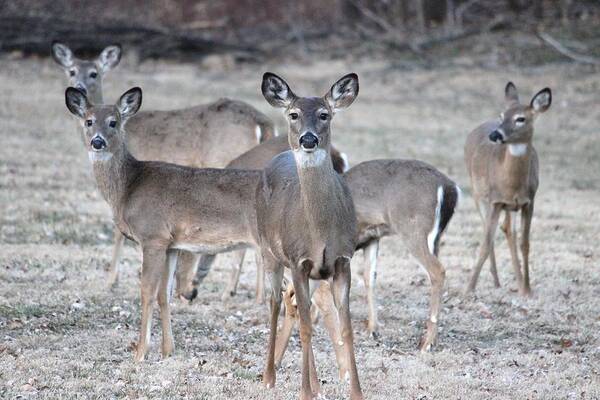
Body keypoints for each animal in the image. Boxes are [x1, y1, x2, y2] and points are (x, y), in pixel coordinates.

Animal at [51, 41, 274, 288]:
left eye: (94, 73)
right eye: (71, 71)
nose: (79, 87)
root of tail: (261, 122)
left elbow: (120, 234)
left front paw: (111, 279)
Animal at [63, 86, 262, 362]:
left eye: (114, 122)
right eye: (88, 121)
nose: (97, 142)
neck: (129, 187)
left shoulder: (153, 236)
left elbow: (146, 291)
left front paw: (140, 352)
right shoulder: (172, 245)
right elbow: (163, 294)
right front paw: (168, 350)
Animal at [256, 72, 364, 400]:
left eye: (324, 114)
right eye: (293, 114)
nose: (308, 139)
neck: (319, 231)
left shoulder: (341, 261)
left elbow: (345, 329)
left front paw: (356, 392)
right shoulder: (297, 260)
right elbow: (305, 328)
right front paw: (303, 391)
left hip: (314, 274)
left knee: (295, 305)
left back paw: (316, 385)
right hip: (268, 251)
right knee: (275, 303)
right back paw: (269, 377)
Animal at [464, 81, 552, 296]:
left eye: (521, 119)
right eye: (502, 115)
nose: (495, 134)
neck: (512, 184)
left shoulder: (529, 201)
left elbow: (525, 244)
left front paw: (527, 289)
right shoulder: (495, 200)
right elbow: (486, 242)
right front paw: (468, 289)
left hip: (510, 207)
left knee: (508, 231)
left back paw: (517, 283)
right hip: (477, 194)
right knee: (490, 232)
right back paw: (495, 281)